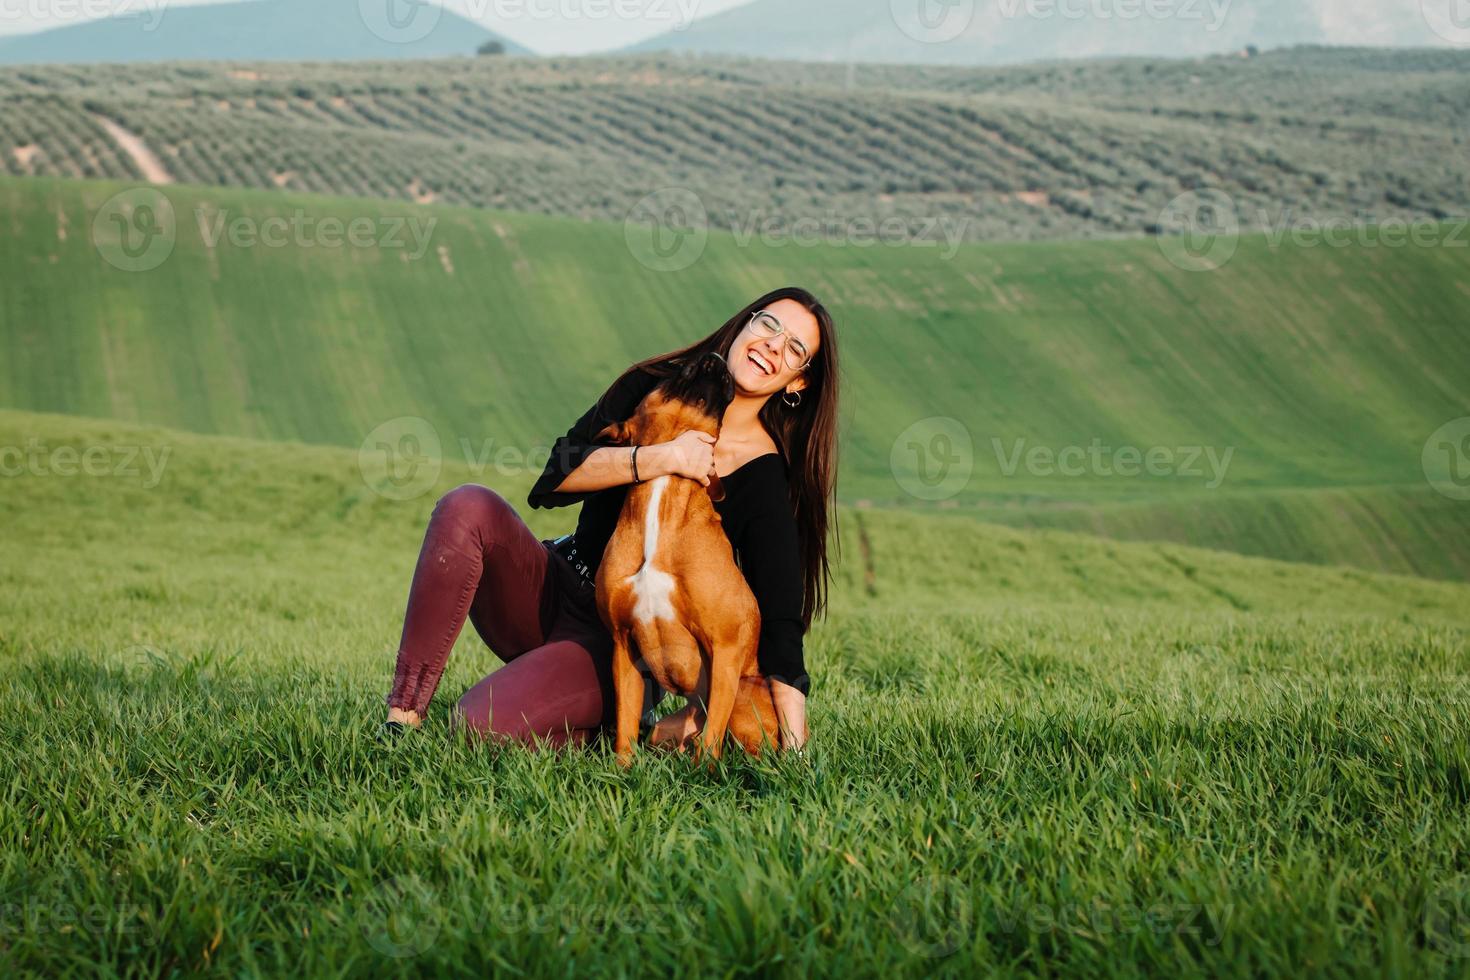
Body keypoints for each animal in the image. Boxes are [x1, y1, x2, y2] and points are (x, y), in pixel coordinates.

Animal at [593, 352, 787, 764]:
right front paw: (620, 772)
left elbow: (712, 738)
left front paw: (706, 773)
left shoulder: (725, 649)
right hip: (665, 729)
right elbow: (625, 729)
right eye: (670, 373)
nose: (713, 356)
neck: (665, 489)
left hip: (742, 696)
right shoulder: (623, 648)